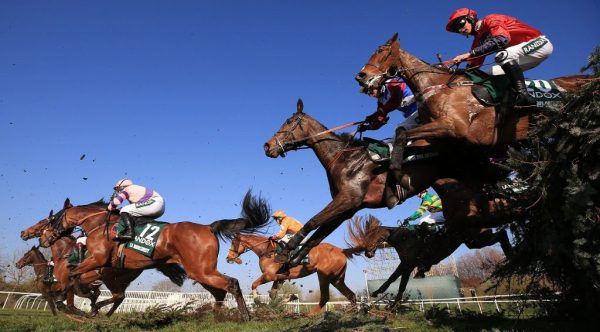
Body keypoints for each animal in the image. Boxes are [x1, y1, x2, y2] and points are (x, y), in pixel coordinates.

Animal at [40, 192, 270, 322]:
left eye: (54, 219)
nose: (44, 239)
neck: (98, 224)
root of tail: (208, 227)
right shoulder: (104, 266)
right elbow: (75, 278)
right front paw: (84, 304)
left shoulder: (97, 260)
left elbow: (72, 275)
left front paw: (66, 301)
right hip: (200, 272)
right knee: (220, 292)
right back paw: (217, 317)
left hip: (201, 270)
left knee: (231, 284)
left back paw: (244, 317)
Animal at [224, 232, 356, 312]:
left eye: (233, 243)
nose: (228, 257)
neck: (267, 251)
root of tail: (342, 250)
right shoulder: (277, 278)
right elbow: (272, 294)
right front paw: (282, 302)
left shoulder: (270, 275)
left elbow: (254, 284)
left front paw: (258, 301)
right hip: (336, 279)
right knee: (350, 295)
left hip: (324, 275)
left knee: (325, 297)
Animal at [264, 101, 512, 268]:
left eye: (288, 122)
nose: (267, 146)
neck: (345, 159)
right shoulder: (348, 208)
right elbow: (318, 236)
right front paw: (293, 259)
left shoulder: (348, 199)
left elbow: (313, 221)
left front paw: (285, 252)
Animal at [346, 215, 510, 308]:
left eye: (368, 237)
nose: (367, 253)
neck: (403, 238)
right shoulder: (407, 264)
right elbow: (397, 281)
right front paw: (385, 299)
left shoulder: (408, 263)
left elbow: (397, 281)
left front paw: (386, 300)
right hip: (473, 241)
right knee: (501, 234)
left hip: (476, 239)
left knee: (502, 234)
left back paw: (511, 256)